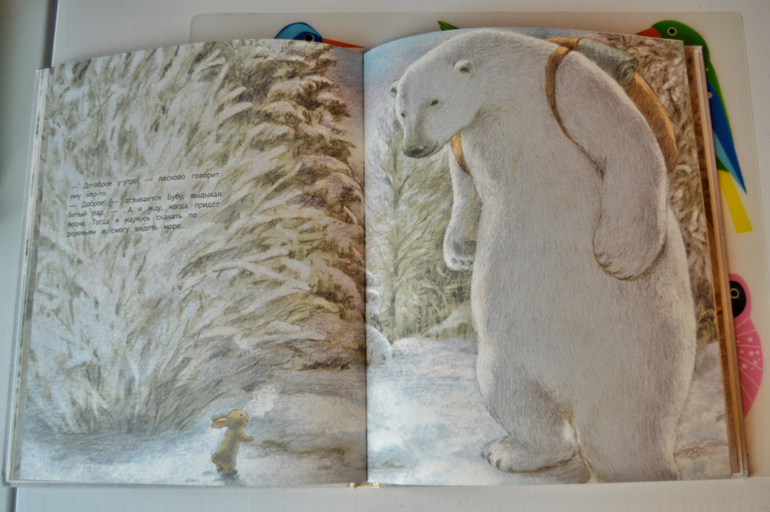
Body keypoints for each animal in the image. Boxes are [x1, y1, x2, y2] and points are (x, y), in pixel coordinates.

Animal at [391, 29, 697, 482]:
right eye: (401, 112)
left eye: (434, 101)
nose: (413, 149)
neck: (507, 84)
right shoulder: (467, 134)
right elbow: (464, 186)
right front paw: (460, 253)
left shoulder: (563, 83)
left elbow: (626, 142)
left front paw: (618, 256)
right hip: (508, 351)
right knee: (514, 395)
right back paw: (512, 452)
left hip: (647, 342)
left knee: (631, 416)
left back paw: (640, 469)